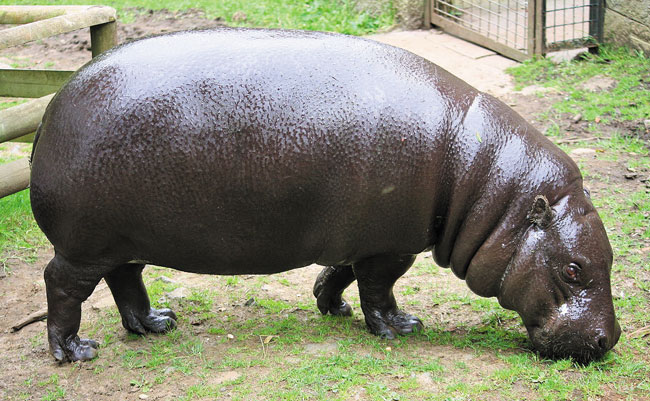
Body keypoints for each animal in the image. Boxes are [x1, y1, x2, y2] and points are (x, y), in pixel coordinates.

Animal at [29, 26, 616, 360]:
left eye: (608, 259)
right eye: (572, 270)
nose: (608, 340)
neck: (485, 185)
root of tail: (53, 105)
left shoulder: (364, 236)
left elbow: (341, 271)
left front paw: (331, 307)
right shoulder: (392, 244)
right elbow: (379, 288)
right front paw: (401, 328)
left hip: (120, 240)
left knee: (125, 279)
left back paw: (157, 325)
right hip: (82, 244)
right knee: (62, 285)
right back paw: (75, 351)